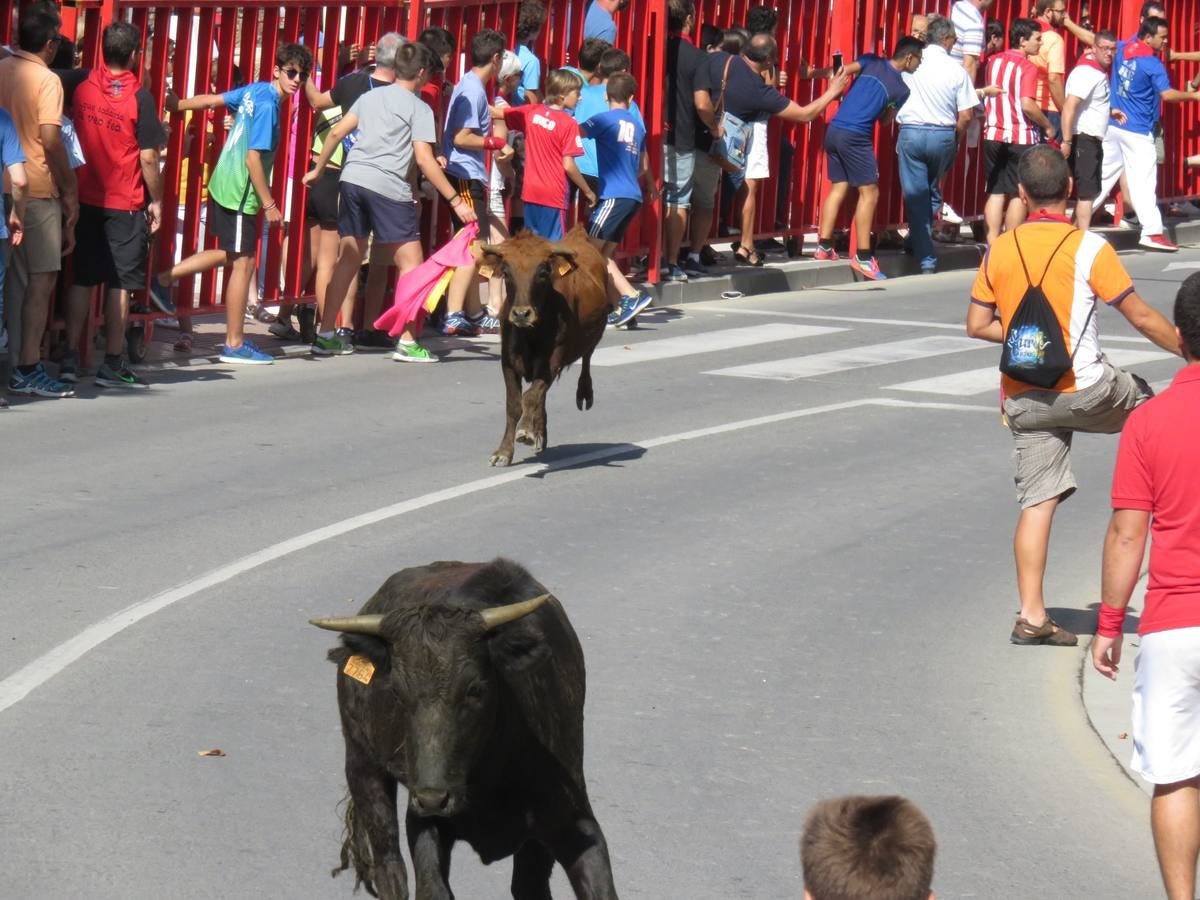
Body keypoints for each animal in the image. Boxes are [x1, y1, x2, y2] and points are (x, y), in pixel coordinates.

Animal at [309, 561, 619, 897]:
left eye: (474, 689)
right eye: (396, 692)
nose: (432, 798)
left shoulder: (574, 823)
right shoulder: (423, 823)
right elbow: (431, 887)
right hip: (361, 764)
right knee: (389, 866)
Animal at [477, 225, 609, 468]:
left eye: (543, 272)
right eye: (506, 272)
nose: (521, 314)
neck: (529, 333)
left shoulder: (552, 361)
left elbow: (530, 396)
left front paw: (525, 431)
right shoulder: (508, 362)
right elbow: (515, 404)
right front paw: (504, 452)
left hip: (593, 336)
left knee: (586, 358)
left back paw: (584, 393)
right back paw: (540, 432)